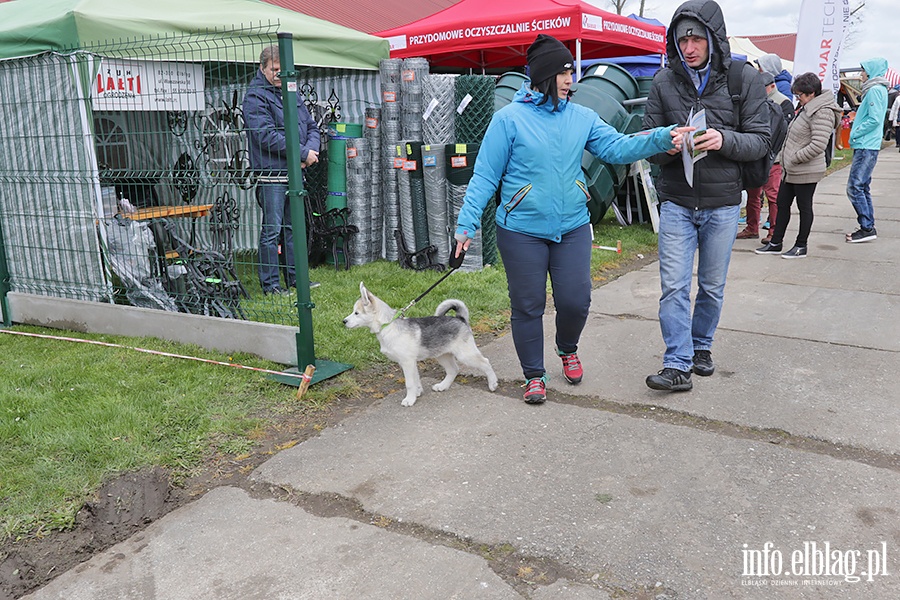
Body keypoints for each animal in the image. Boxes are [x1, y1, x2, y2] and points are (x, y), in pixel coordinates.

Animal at [342, 282, 500, 408]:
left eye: (356, 313)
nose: (343, 321)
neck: (389, 325)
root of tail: (460, 319)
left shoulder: (407, 362)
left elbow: (409, 383)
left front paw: (409, 399)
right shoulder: (410, 363)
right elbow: (416, 380)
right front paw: (417, 393)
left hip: (465, 355)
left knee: (485, 362)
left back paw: (492, 383)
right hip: (442, 355)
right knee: (453, 370)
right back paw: (443, 386)